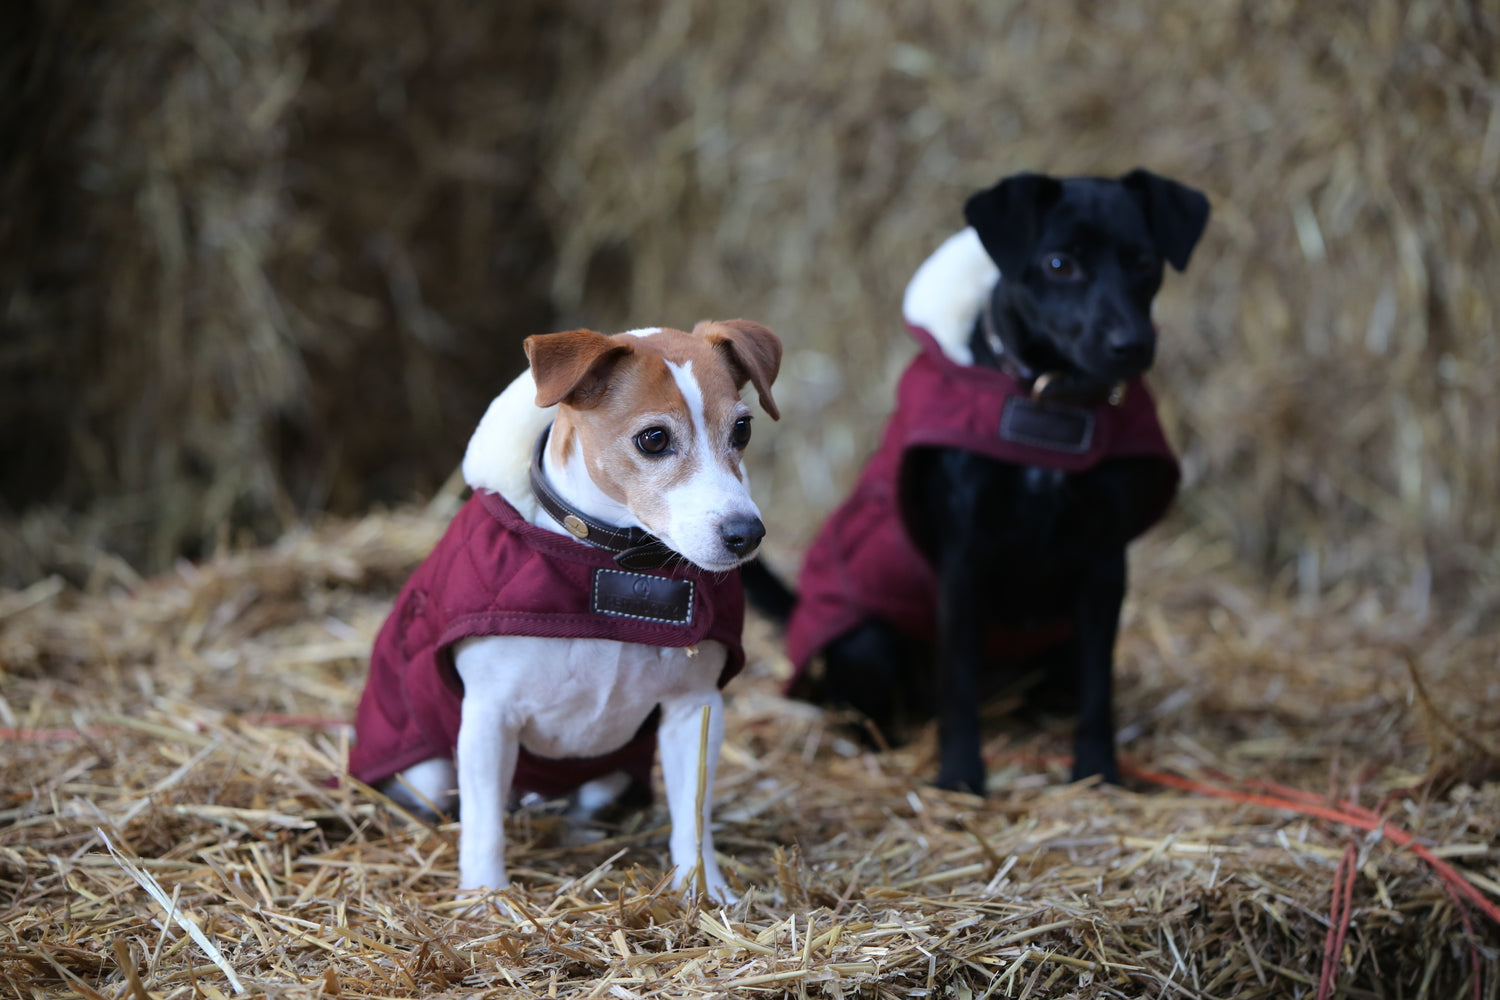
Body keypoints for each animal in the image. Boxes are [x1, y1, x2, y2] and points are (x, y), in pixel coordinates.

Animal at [345, 322, 780, 905]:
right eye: (653, 439)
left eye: (742, 429)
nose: (745, 534)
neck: (610, 561)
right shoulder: (488, 716)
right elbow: (483, 826)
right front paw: (485, 899)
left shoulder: (696, 710)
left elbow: (694, 817)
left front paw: (704, 891)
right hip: (429, 767)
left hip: (609, 775)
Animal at [750, 167, 1206, 791]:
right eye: (1059, 264)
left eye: (1143, 260)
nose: (1130, 346)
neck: (1048, 406)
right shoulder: (964, 560)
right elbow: (959, 683)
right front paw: (962, 775)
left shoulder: (1104, 565)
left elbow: (1099, 688)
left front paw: (1097, 770)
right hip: (868, 640)